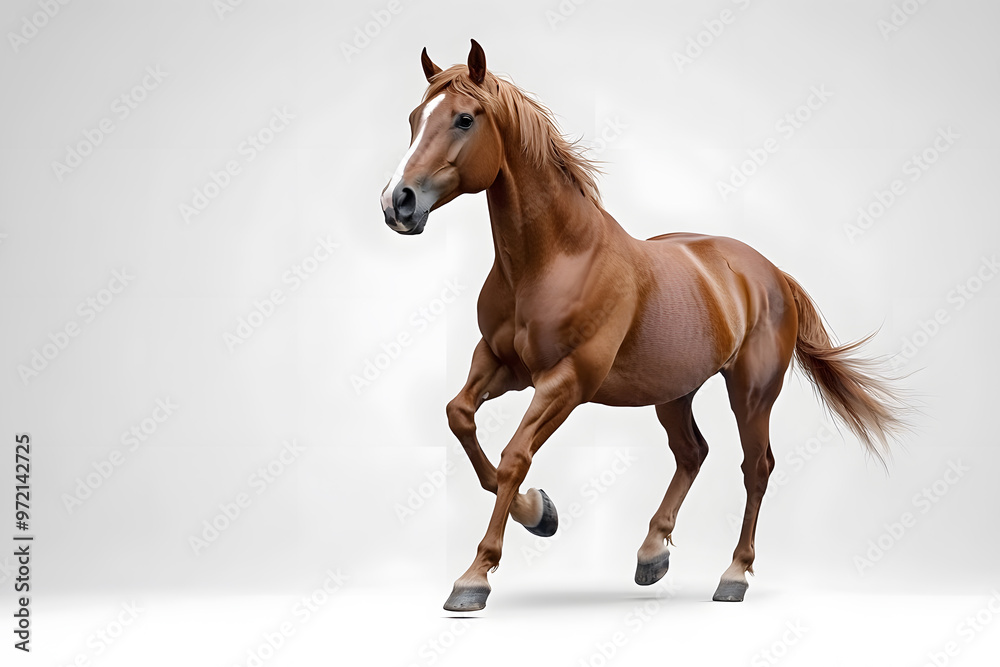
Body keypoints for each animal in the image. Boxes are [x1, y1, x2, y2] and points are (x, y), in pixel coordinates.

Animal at [380, 39, 907, 611]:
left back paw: (734, 576)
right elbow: (459, 417)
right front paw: (540, 513)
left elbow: (515, 454)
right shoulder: (499, 363)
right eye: (414, 118)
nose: (397, 202)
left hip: (751, 391)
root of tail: (771, 272)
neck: (555, 259)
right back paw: (652, 553)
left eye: (464, 118)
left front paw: (475, 577)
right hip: (673, 391)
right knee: (692, 452)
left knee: (756, 467)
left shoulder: (566, 381)